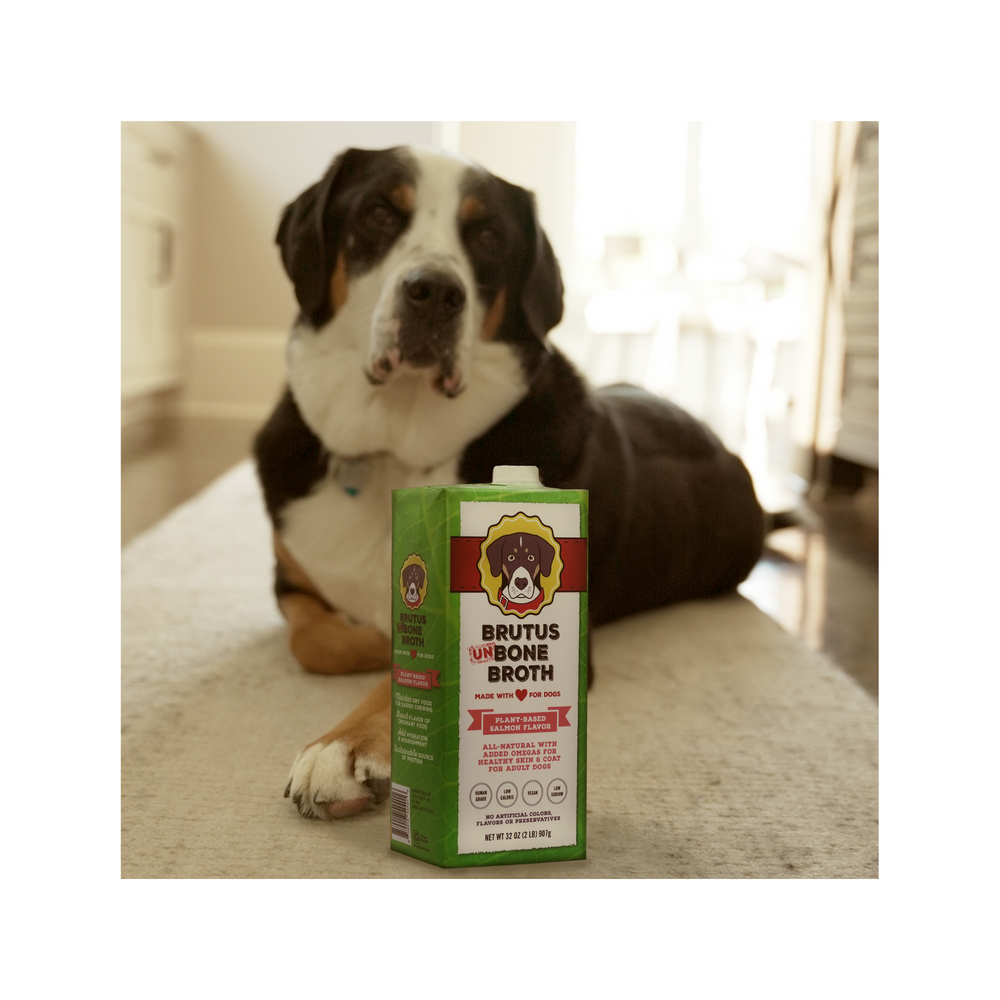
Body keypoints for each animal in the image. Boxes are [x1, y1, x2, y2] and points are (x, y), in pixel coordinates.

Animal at [254, 146, 760, 820]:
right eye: (379, 211)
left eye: (488, 235)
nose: (435, 293)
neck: (396, 445)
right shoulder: (291, 577)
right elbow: (312, 641)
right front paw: (364, 639)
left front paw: (341, 745)